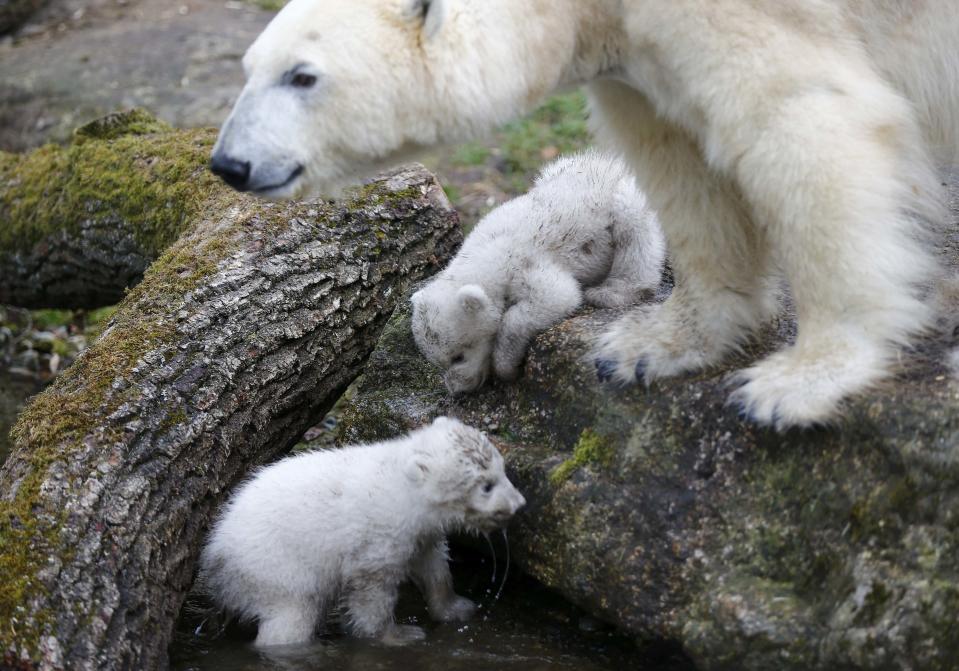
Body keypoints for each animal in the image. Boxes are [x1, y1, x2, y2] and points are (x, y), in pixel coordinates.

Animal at [212, 1, 959, 430]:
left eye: (302, 75)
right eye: (247, 67)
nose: (229, 164)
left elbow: (804, 123)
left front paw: (798, 381)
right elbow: (677, 157)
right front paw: (653, 347)